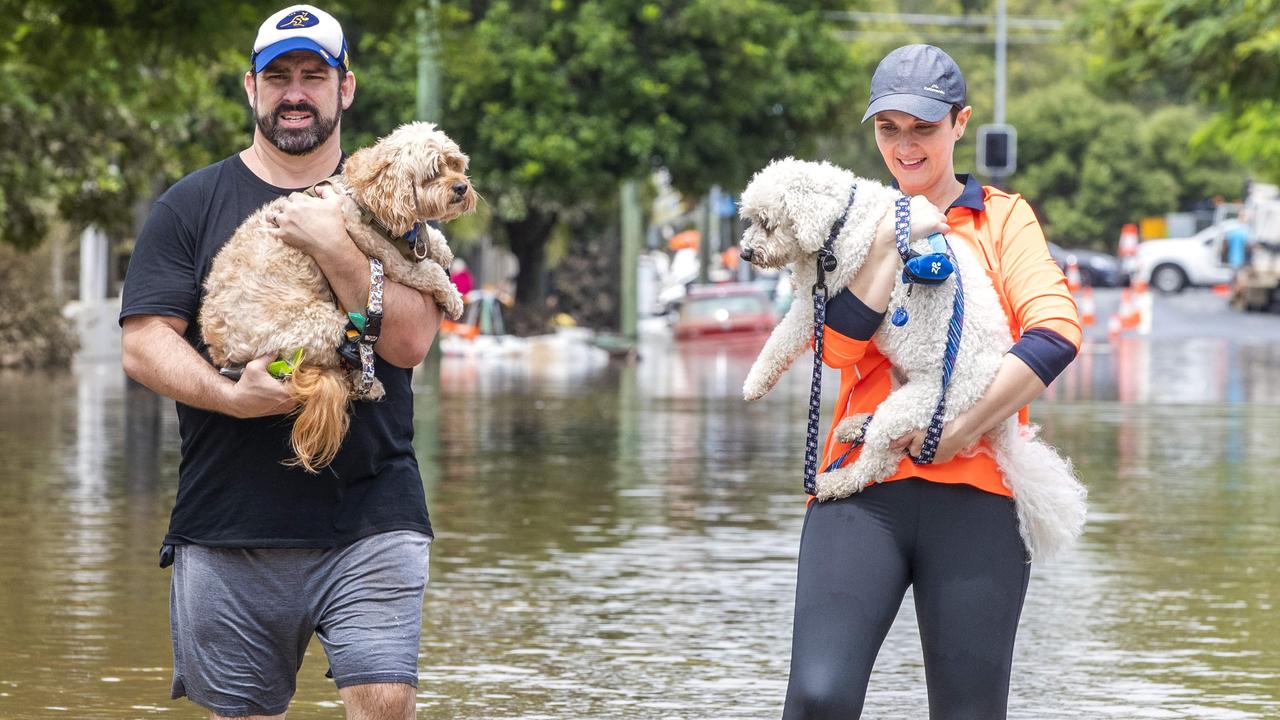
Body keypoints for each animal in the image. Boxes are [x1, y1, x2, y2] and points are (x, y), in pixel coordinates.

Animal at [199, 122, 481, 471]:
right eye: (432, 172)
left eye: (456, 164)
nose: (462, 187)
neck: (369, 199)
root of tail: (222, 353)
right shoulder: (388, 260)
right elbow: (427, 272)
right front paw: (452, 297)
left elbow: (429, 242)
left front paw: (439, 246)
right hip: (319, 322)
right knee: (337, 358)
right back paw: (366, 382)